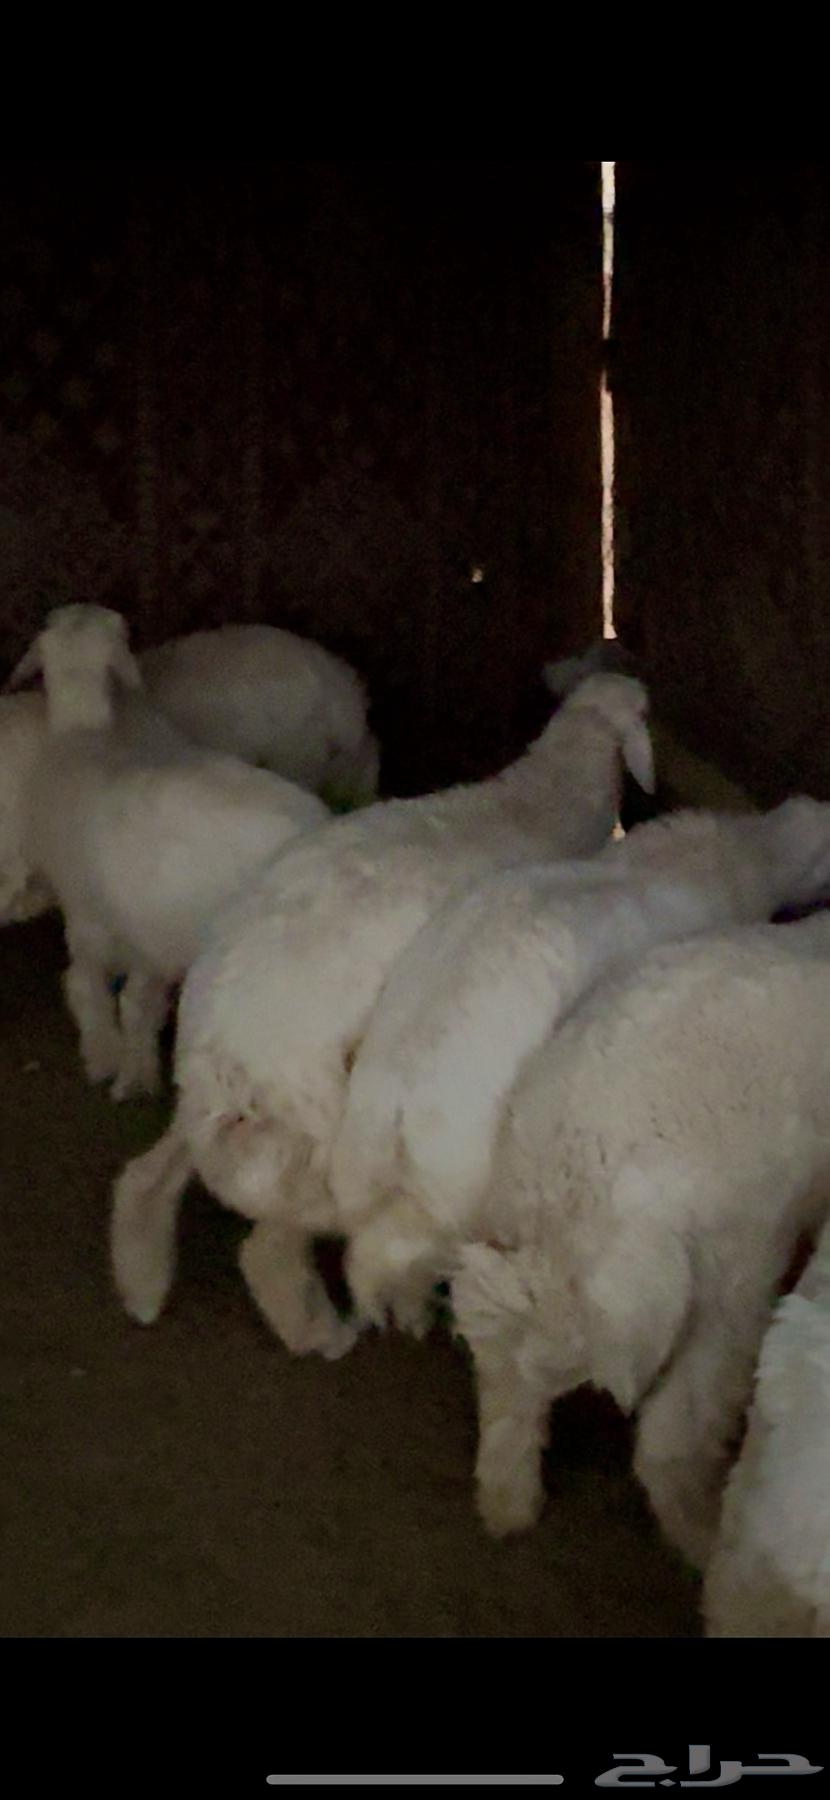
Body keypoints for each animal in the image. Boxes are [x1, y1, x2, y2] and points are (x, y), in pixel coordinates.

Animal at [13, 604, 329, 1100]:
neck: (88, 733)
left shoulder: (86, 917)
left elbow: (91, 989)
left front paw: (104, 1056)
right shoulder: (146, 934)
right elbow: (138, 1004)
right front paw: (138, 1069)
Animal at [111, 669, 655, 1349]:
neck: (541, 798)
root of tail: (224, 1054)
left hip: (237, 1119)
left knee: (148, 1178)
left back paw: (143, 1283)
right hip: (316, 1132)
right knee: (271, 1247)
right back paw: (325, 1330)